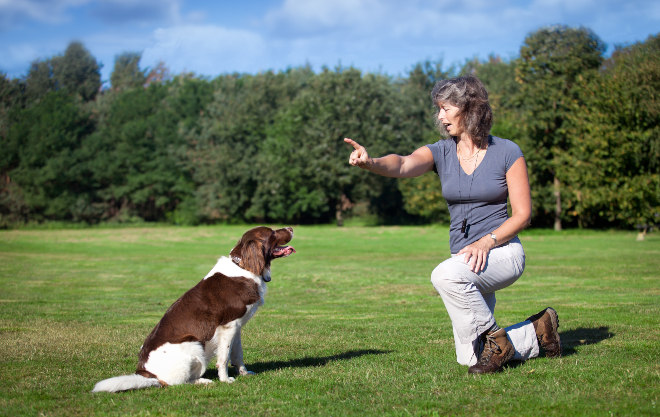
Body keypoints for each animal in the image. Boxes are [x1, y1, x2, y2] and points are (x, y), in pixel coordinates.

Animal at [91, 226, 296, 392]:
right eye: (272, 233)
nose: (291, 228)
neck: (244, 267)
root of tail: (146, 373)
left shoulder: (237, 326)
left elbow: (237, 354)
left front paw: (244, 373)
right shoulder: (227, 326)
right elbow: (224, 357)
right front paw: (226, 379)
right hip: (194, 346)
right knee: (174, 383)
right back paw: (203, 381)